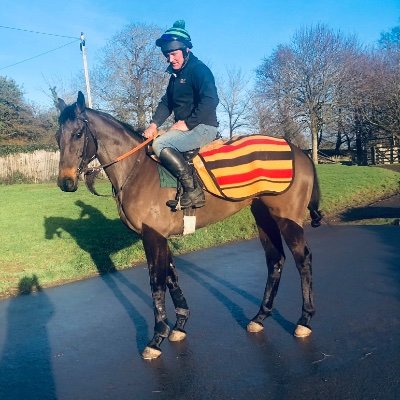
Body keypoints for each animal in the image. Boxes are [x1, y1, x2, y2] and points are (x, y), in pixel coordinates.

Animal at [56, 92, 324, 360]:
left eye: (78, 133)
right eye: (58, 136)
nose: (65, 182)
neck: (137, 171)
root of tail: (299, 151)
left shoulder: (152, 236)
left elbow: (157, 283)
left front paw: (157, 337)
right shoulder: (160, 236)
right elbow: (172, 277)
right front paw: (179, 325)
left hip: (287, 219)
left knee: (304, 261)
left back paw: (304, 320)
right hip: (263, 217)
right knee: (275, 260)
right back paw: (260, 317)